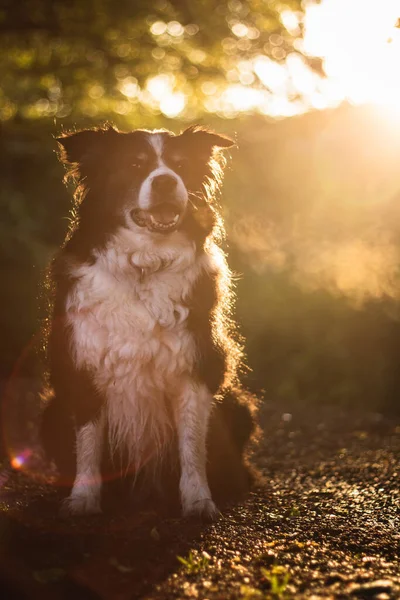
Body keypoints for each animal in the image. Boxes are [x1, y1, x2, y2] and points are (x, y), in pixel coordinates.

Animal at [41, 124, 256, 516]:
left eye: (180, 165)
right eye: (135, 164)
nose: (166, 182)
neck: (145, 263)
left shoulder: (197, 366)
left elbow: (192, 445)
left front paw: (198, 501)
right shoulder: (83, 365)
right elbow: (88, 444)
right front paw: (83, 500)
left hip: (238, 405)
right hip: (51, 411)